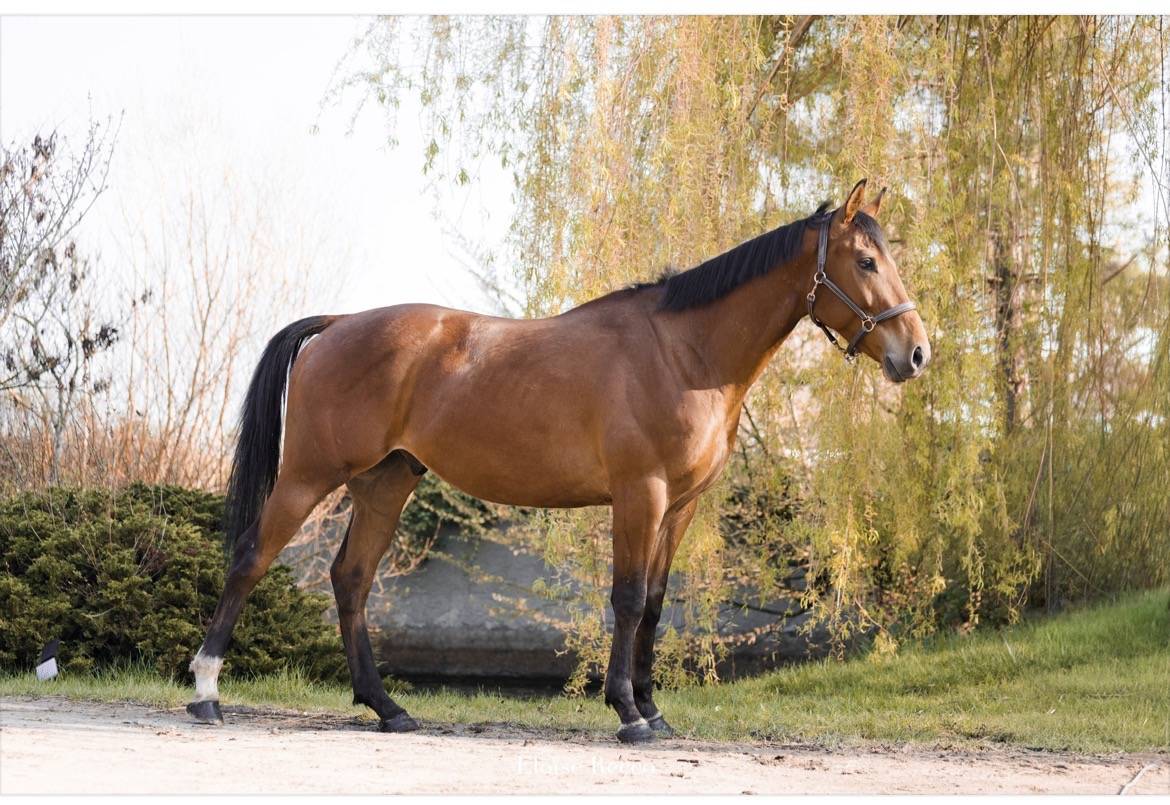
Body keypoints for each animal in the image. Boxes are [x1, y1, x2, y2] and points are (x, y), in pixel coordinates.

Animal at [186, 178, 930, 743]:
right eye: (866, 262)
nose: (916, 353)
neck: (682, 353)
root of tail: (338, 323)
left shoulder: (681, 506)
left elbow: (656, 603)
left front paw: (653, 708)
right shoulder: (640, 493)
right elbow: (627, 598)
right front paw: (628, 712)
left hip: (384, 482)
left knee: (352, 578)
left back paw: (388, 707)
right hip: (309, 476)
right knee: (252, 557)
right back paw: (206, 693)